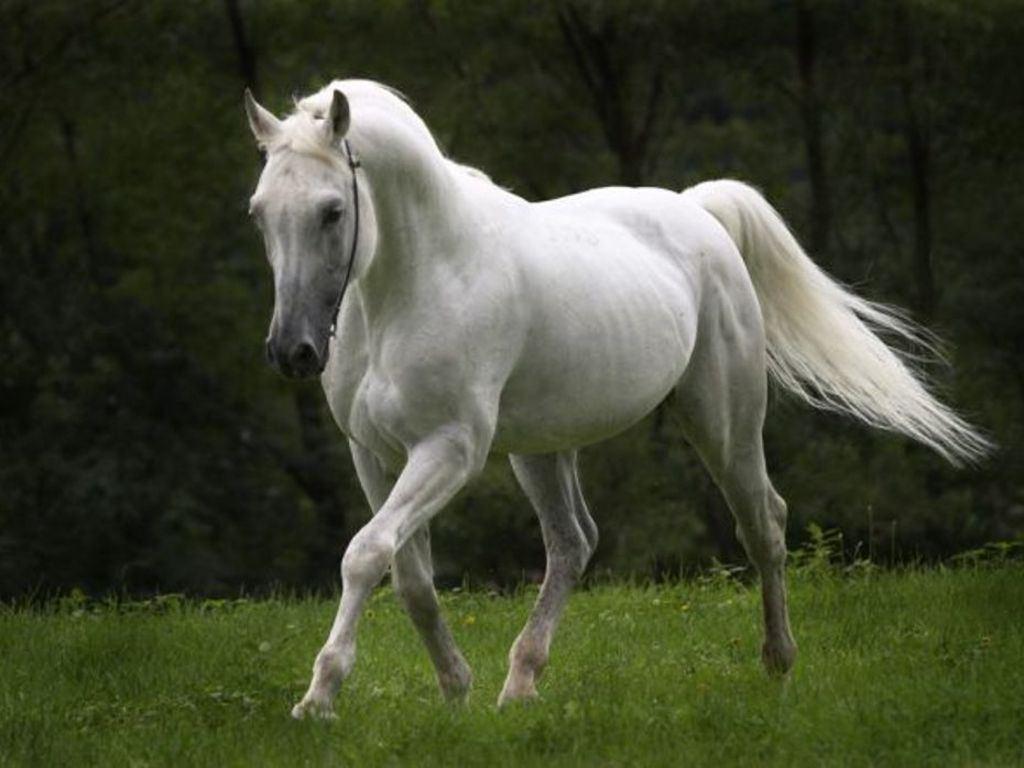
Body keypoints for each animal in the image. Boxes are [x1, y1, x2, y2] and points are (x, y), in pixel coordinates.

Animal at [242, 80, 989, 719]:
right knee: (574, 543)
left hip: (721, 423)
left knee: (763, 525)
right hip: (542, 449)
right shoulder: (373, 454)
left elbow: (365, 554)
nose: (291, 351)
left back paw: (777, 665)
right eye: (259, 214)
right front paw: (455, 690)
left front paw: (320, 696)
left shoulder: (449, 449)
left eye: (333, 211)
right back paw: (519, 686)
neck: (420, 279)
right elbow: (408, 576)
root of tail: (698, 211)